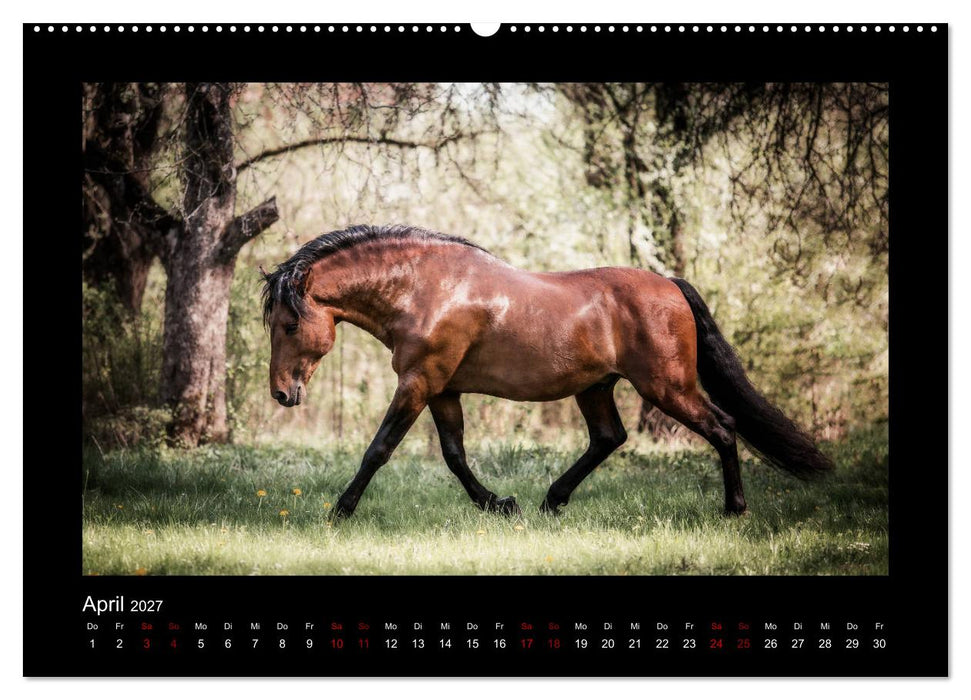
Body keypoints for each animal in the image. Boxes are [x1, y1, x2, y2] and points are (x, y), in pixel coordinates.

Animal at [261, 224, 833, 519]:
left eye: (289, 323)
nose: (282, 394)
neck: (427, 289)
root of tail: (670, 285)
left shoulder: (419, 384)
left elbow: (379, 449)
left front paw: (340, 511)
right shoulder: (442, 389)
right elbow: (454, 456)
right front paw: (500, 504)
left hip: (667, 387)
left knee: (722, 427)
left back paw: (734, 508)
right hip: (596, 388)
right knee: (608, 438)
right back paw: (551, 501)